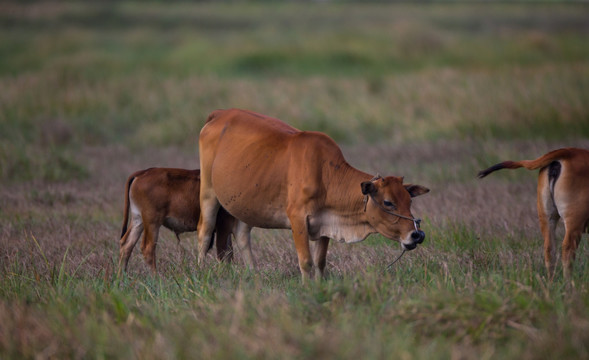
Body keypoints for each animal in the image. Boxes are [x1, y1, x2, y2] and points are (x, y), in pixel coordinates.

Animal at [195, 108, 430, 282]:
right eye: (388, 203)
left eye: (409, 201)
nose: (416, 235)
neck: (325, 175)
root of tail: (220, 113)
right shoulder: (297, 219)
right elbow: (306, 260)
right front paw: (307, 287)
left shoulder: (325, 223)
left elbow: (320, 261)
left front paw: (318, 285)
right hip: (208, 193)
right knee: (204, 231)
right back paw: (201, 270)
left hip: (247, 203)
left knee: (242, 234)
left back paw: (254, 274)